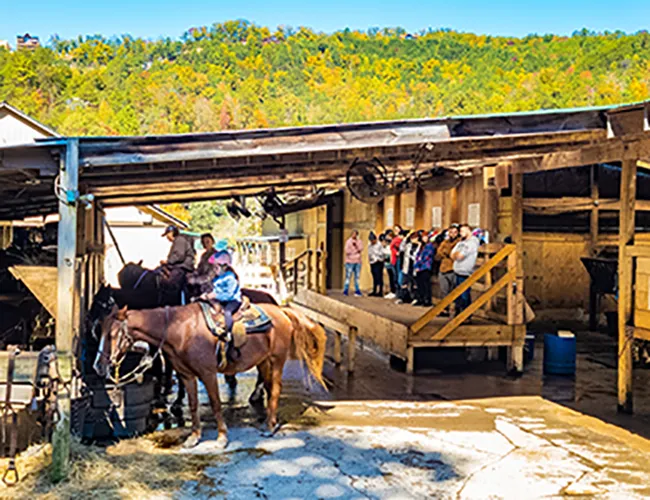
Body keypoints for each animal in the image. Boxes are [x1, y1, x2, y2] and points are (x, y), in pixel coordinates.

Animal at [93, 300, 326, 450]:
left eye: (112, 335)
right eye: (99, 333)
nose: (98, 367)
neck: (181, 329)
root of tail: (282, 310)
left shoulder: (208, 373)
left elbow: (215, 403)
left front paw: (222, 437)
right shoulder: (187, 375)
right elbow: (193, 404)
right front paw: (194, 437)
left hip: (277, 360)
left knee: (275, 389)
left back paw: (270, 426)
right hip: (263, 361)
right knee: (268, 388)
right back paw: (267, 420)